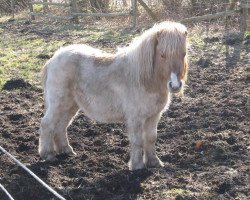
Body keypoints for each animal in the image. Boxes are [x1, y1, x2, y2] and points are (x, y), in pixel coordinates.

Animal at [38, 21, 188, 170]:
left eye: (183, 54)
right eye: (162, 55)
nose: (175, 85)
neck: (144, 79)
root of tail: (53, 59)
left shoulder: (153, 116)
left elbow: (151, 138)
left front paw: (154, 162)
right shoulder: (136, 118)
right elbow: (137, 140)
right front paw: (137, 166)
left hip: (70, 106)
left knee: (61, 126)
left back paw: (66, 150)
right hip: (59, 104)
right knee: (47, 124)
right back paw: (48, 154)